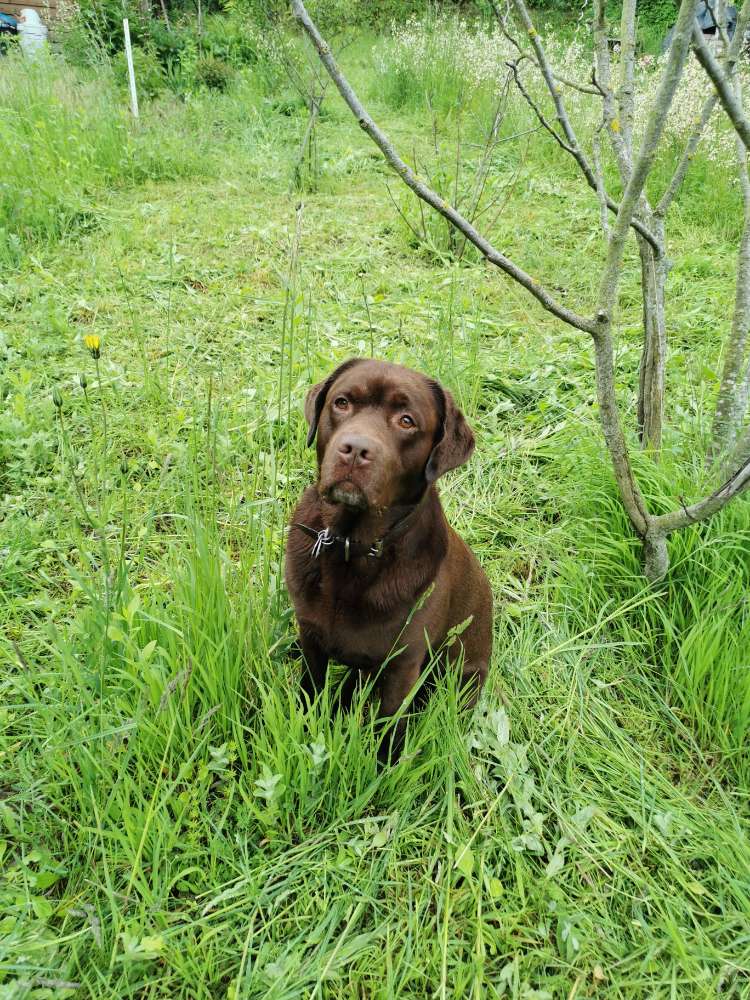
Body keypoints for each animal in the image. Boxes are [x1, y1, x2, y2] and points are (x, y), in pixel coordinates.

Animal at [284, 356, 494, 752]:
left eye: (406, 421)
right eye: (342, 403)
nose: (354, 449)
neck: (351, 544)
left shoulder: (403, 665)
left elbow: (388, 731)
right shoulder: (311, 638)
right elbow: (310, 692)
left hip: (461, 676)